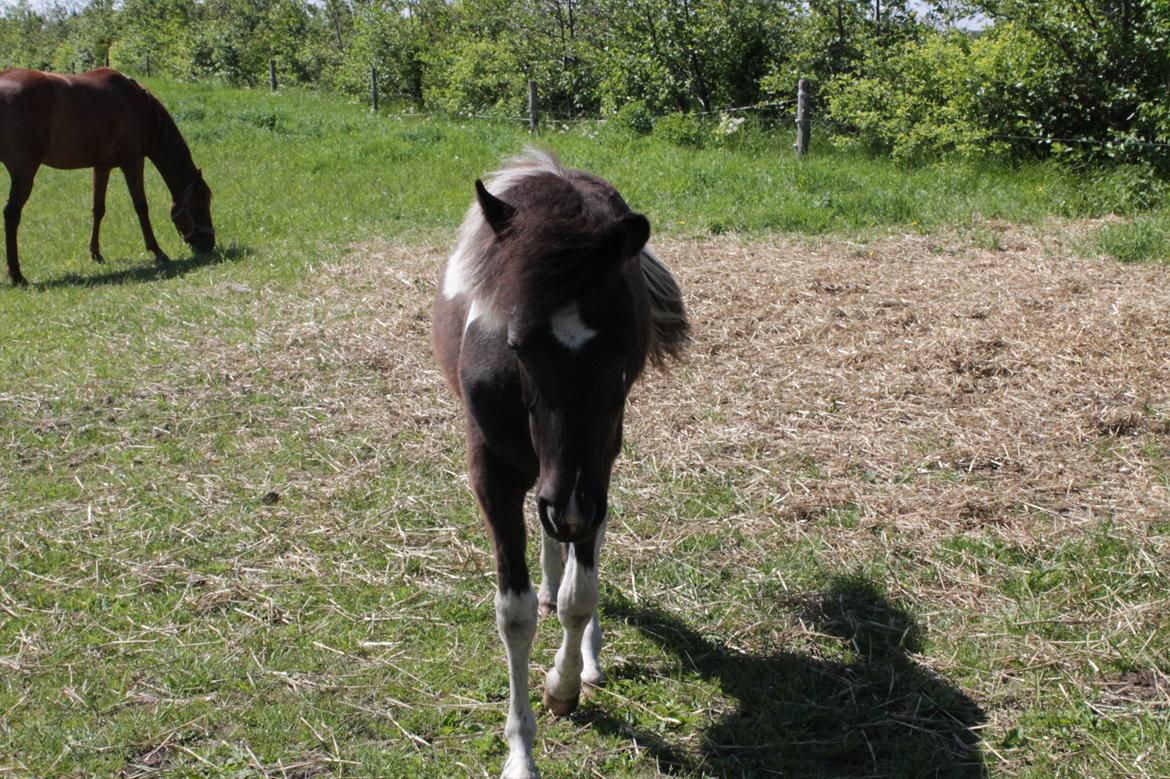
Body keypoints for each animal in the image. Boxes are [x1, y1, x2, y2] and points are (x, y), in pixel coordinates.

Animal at [0, 68, 215, 284]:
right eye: (201, 207)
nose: (209, 245)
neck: (142, 106)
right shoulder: (133, 162)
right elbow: (141, 207)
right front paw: (157, 251)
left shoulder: (101, 167)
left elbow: (98, 209)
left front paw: (96, 254)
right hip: (24, 172)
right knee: (11, 214)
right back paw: (16, 274)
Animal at [432, 148, 687, 771]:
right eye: (517, 345)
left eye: (621, 347)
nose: (568, 501)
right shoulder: (493, 476)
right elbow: (515, 614)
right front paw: (521, 754)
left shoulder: (594, 472)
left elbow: (581, 593)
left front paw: (564, 685)